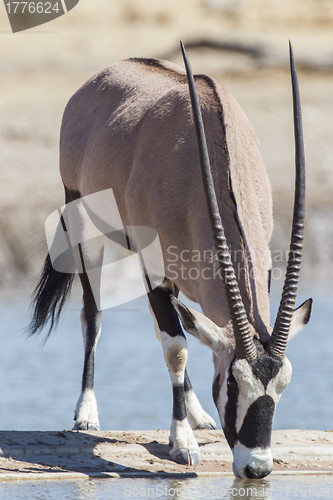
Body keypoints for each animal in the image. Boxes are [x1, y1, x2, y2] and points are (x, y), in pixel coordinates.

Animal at [29, 41, 312, 478]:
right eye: (233, 382)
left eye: (283, 385)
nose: (257, 469)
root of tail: (100, 78)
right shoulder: (154, 270)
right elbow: (175, 347)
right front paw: (182, 443)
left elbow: (181, 336)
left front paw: (190, 429)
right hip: (82, 220)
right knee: (93, 316)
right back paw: (87, 414)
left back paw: (198, 415)